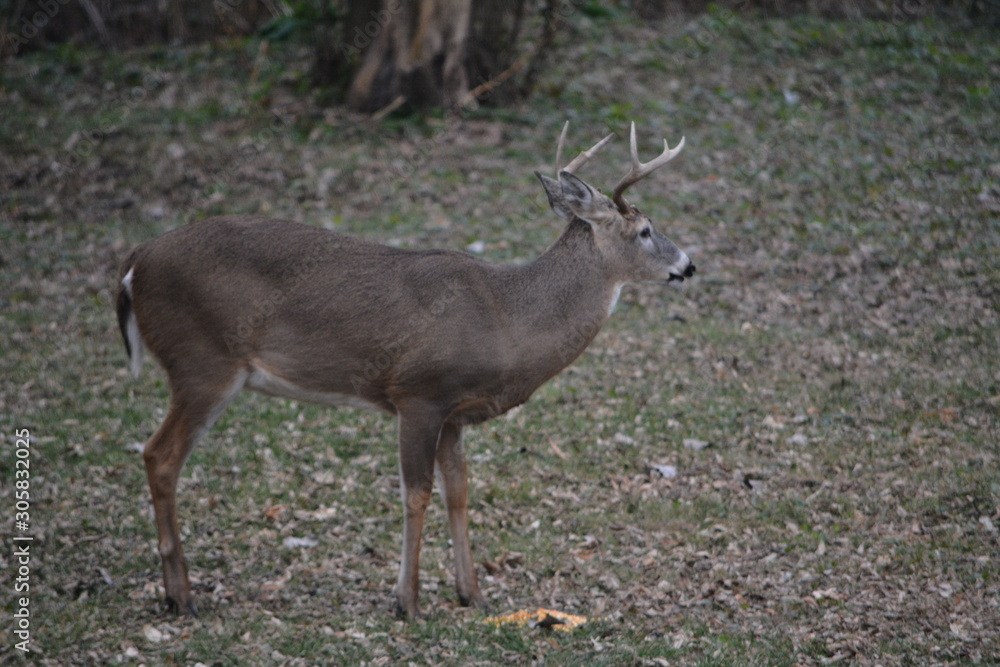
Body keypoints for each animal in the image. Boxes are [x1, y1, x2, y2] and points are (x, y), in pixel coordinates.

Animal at [117, 121, 696, 620]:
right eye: (646, 230)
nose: (688, 264)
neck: (506, 320)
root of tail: (134, 262)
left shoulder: (456, 413)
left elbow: (459, 490)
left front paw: (472, 594)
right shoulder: (418, 393)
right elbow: (415, 494)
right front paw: (407, 602)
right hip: (202, 361)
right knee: (159, 454)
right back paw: (181, 596)